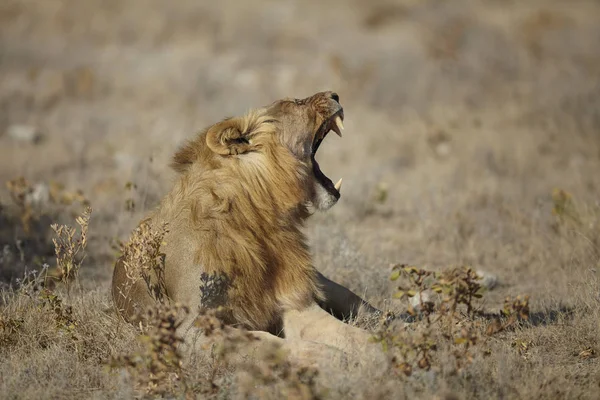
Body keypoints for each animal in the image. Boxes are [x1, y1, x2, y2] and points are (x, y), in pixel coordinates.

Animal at [113, 90, 390, 366]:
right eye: (295, 103)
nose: (335, 94)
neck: (259, 217)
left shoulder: (295, 301)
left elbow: (350, 333)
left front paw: (383, 350)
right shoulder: (190, 326)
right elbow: (263, 342)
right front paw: (328, 356)